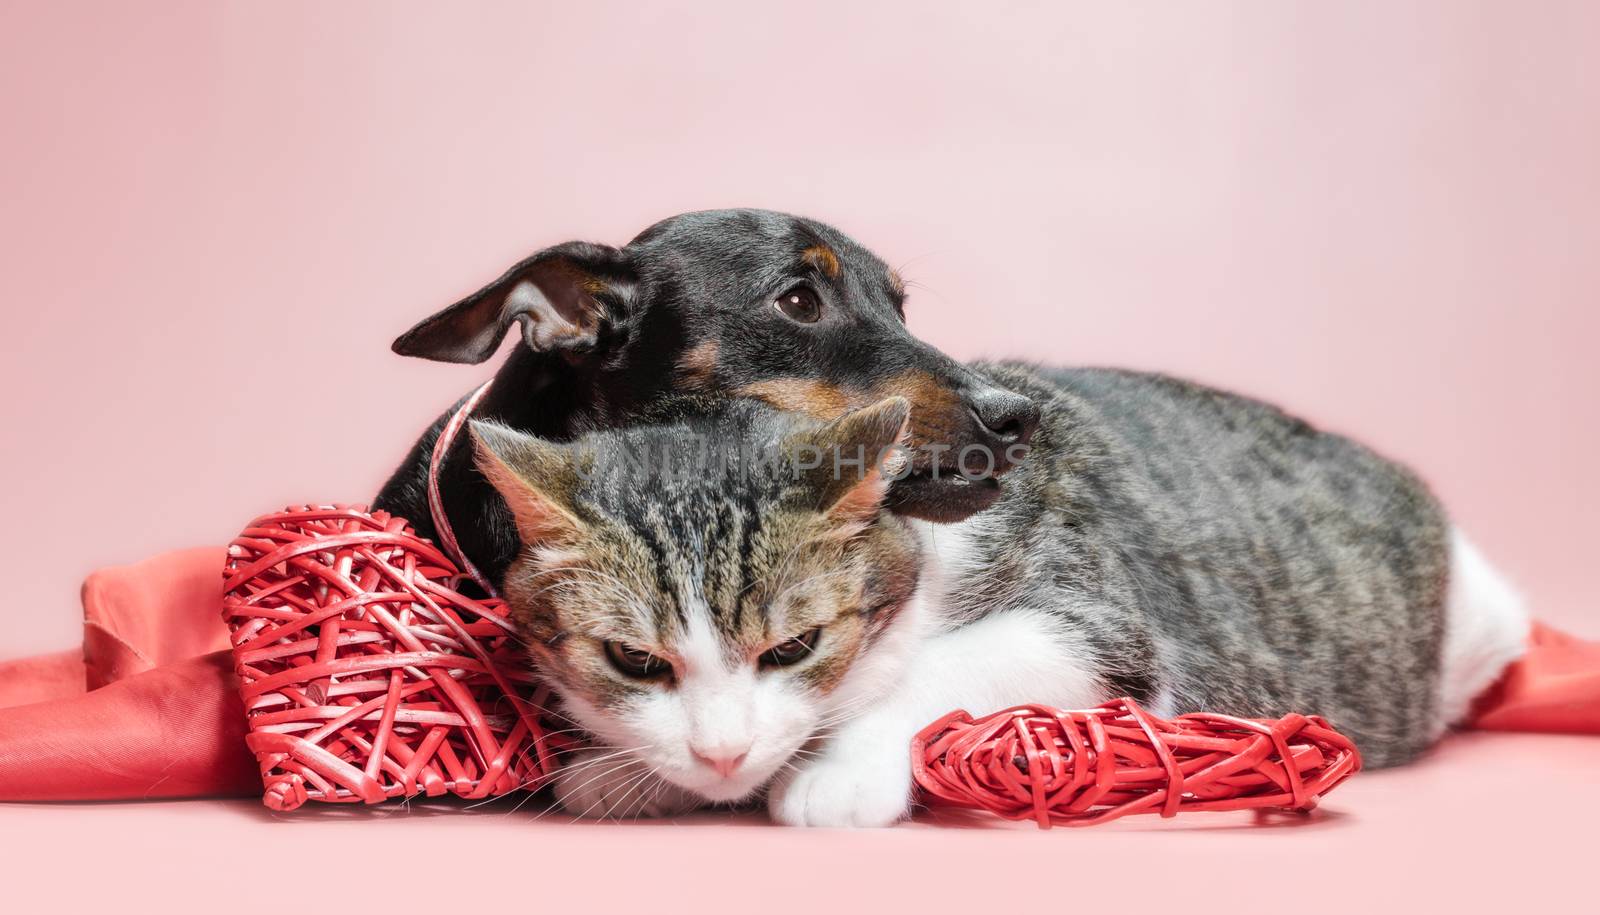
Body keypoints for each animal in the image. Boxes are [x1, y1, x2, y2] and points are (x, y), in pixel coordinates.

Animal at [467, 364, 1523, 831]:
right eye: (634, 659)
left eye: (793, 648)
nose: (721, 753)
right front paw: (631, 769)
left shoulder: (1096, 620)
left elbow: (950, 661)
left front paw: (834, 769)